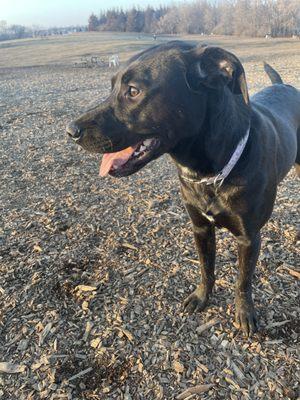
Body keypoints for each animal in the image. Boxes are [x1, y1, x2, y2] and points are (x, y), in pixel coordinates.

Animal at [67, 41, 300, 334]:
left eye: (133, 91)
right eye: (112, 86)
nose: (70, 131)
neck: (210, 174)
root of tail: (284, 85)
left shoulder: (248, 238)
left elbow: (243, 281)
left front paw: (244, 313)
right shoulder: (200, 227)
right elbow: (205, 267)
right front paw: (202, 297)